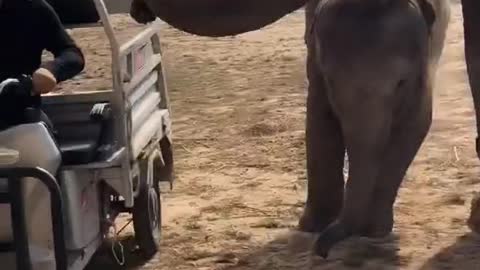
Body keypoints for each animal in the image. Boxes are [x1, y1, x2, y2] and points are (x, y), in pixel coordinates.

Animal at [300, 0, 450, 258]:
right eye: (331, 81)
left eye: (401, 83)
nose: (321, 252)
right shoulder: (316, 65)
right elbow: (320, 121)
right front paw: (311, 227)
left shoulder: (423, 73)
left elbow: (415, 127)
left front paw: (374, 232)